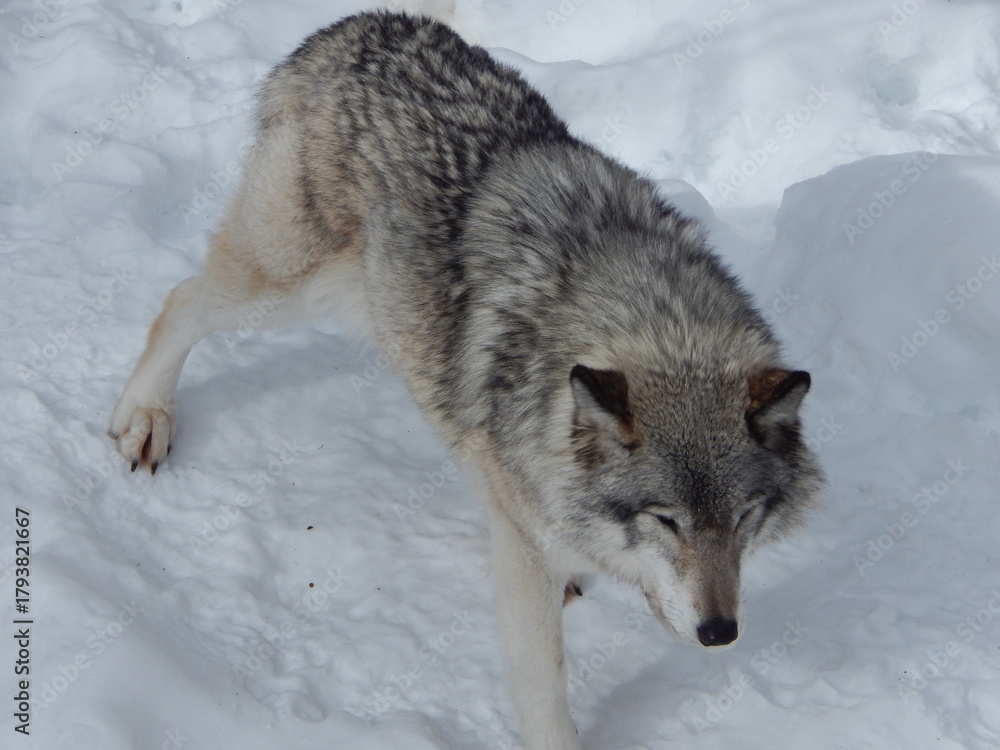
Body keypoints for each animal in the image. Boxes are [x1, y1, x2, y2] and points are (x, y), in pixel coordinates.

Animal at [111, 11, 823, 749]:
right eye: (666, 520)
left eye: (743, 518)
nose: (720, 633)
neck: (655, 324)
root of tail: (361, 25)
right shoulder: (524, 556)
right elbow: (543, 683)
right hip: (288, 290)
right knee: (180, 300)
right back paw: (145, 419)